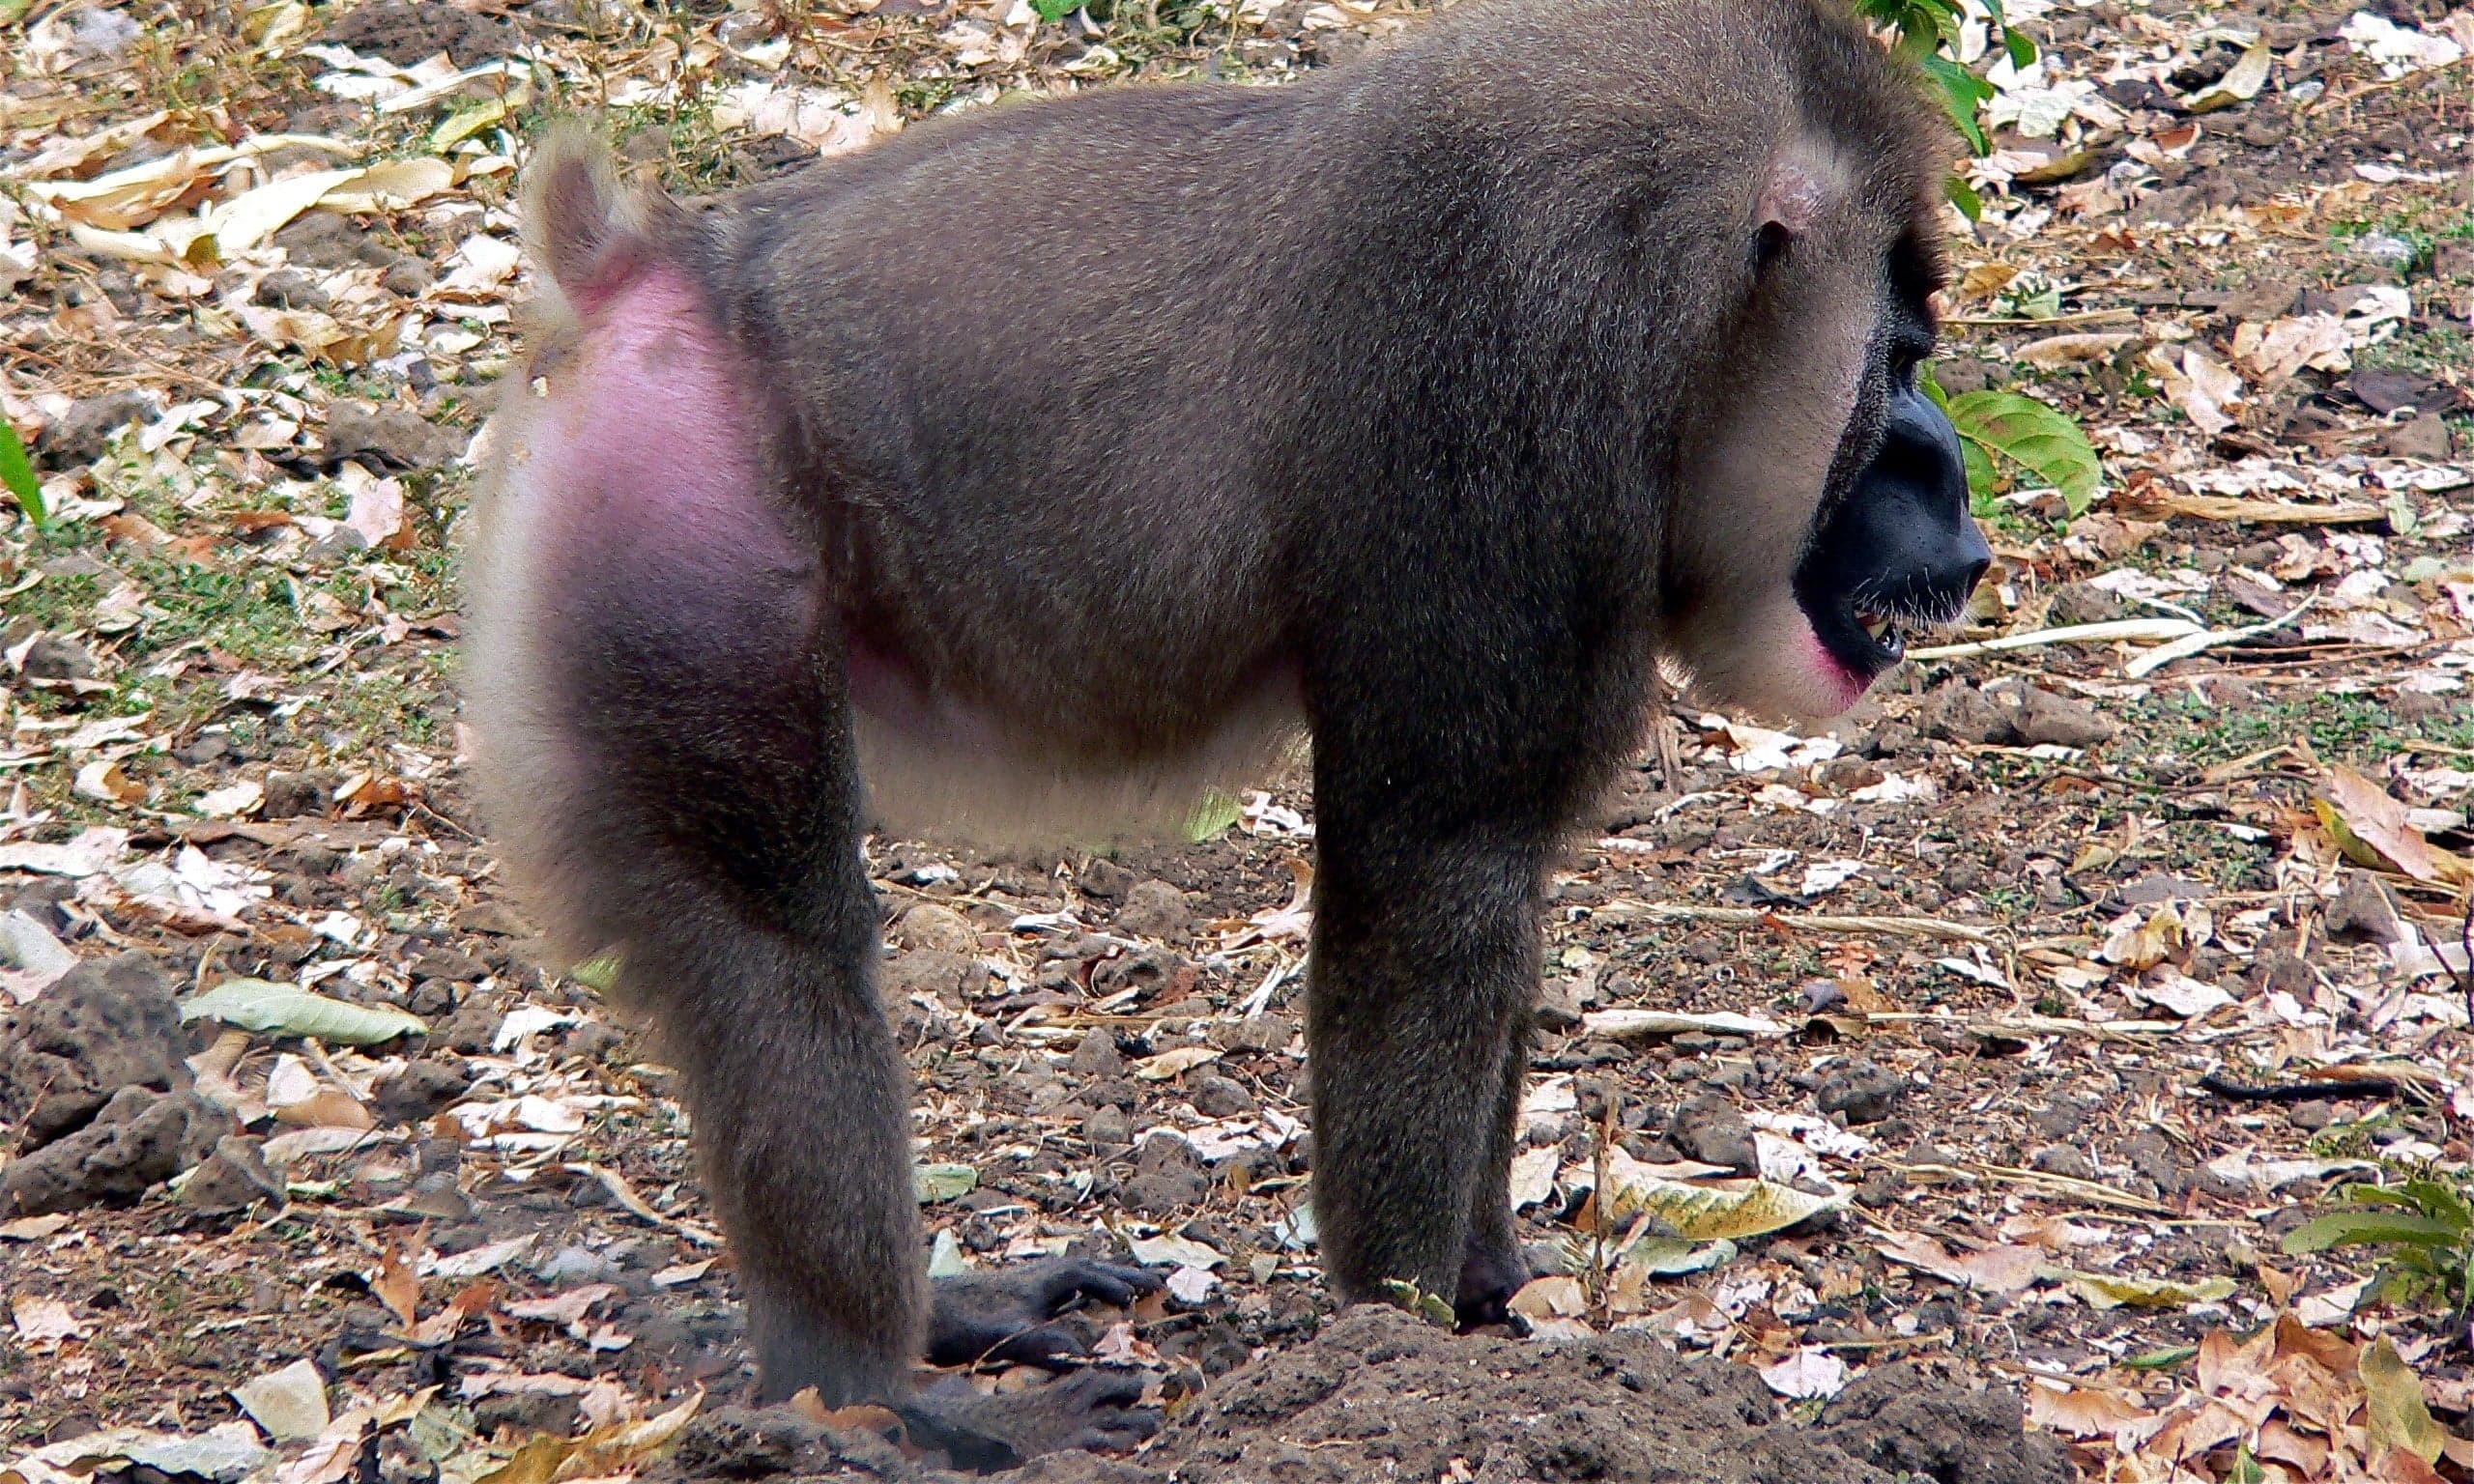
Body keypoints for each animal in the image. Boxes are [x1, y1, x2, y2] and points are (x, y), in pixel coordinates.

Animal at [461, 0, 1991, 1461]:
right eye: (1901, 358)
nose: (1962, 509)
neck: (1681, 292)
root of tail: (654, 268)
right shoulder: (1508, 412)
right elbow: (1434, 877)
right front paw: (1403, 1342)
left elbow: (1501, 900)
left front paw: (1488, 1294)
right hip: (687, 548)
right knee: (777, 960)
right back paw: (874, 1395)